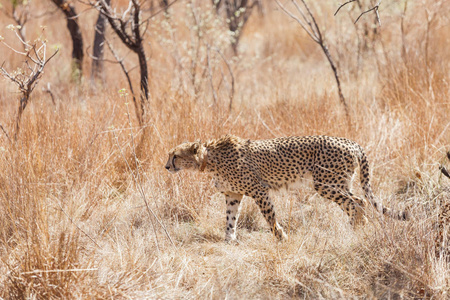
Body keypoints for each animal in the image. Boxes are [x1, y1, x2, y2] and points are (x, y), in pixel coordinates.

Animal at [164, 135, 408, 241]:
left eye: (175, 156)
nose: (166, 166)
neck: (209, 158)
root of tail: (351, 142)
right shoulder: (234, 194)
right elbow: (230, 218)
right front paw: (229, 240)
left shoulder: (258, 190)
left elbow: (270, 216)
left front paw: (281, 236)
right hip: (337, 183)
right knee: (359, 201)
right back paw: (357, 225)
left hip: (326, 184)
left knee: (358, 201)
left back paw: (358, 225)